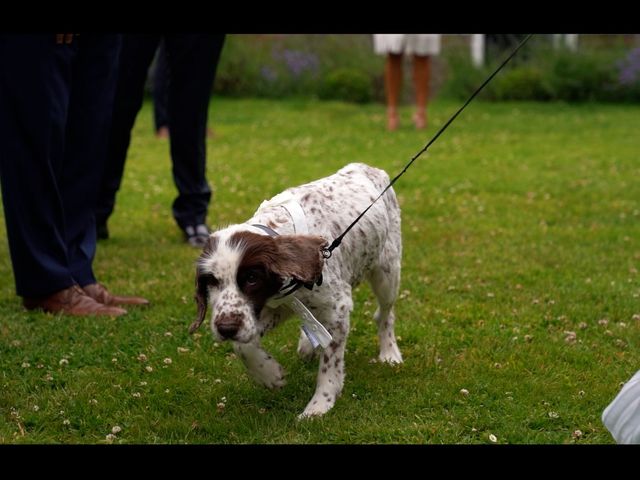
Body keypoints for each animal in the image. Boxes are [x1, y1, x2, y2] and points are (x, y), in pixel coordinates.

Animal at [190, 163, 402, 418]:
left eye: (251, 278)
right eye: (211, 281)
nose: (226, 328)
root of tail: (367, 167)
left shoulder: (337, 308)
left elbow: (330, 363)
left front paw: (319, 405)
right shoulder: (274, 307)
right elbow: (243, 346)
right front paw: (270, 374)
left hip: (387, 273)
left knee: (385, 315)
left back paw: (389, 353)